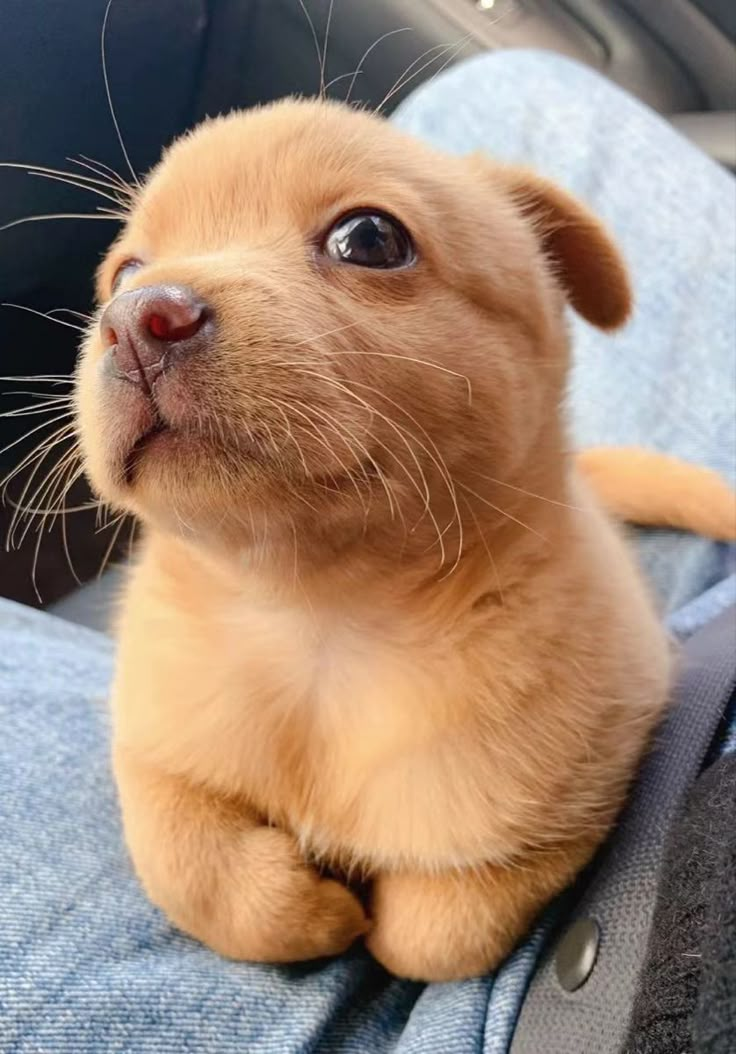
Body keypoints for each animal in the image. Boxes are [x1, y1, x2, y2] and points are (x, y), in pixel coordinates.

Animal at [74, 99, 733, 978]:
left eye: (370, 239)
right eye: (122, 273)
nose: (138, 319)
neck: (317, 620)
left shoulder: (576, 798)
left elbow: (435, 933)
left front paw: (368, 920)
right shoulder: (151, 745)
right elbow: (187, 865)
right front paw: (306, 911)